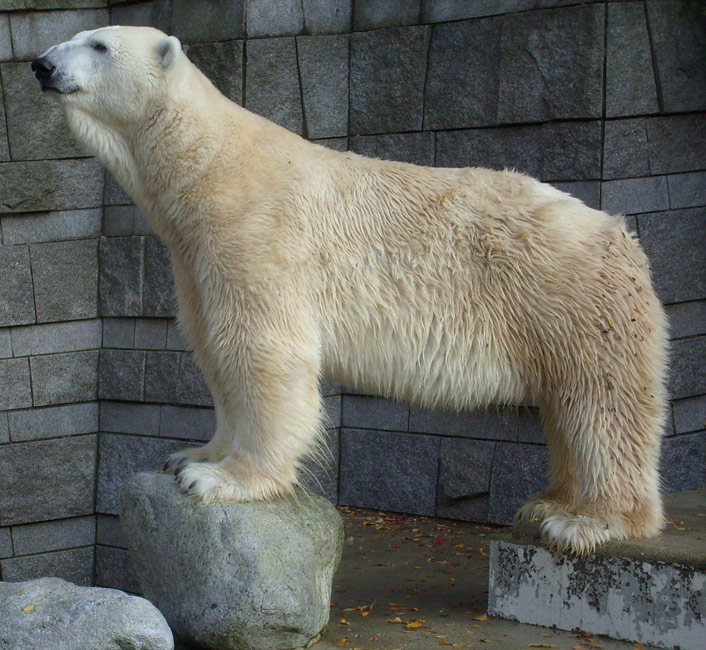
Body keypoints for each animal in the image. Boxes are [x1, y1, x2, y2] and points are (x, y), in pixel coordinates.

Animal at [34, 26, 664, 552]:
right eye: (81, 35)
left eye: (98, 45)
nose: (41, 64)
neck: (208, 166)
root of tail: (622, 234)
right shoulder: (193, 257)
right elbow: (213, 345)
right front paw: (194, 454)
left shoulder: (257, 235)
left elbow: (263, 351)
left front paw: (222, 479)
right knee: (569, 407)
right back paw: (547, 502)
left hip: (573, 298)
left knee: (603, 406)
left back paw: (588, 521)